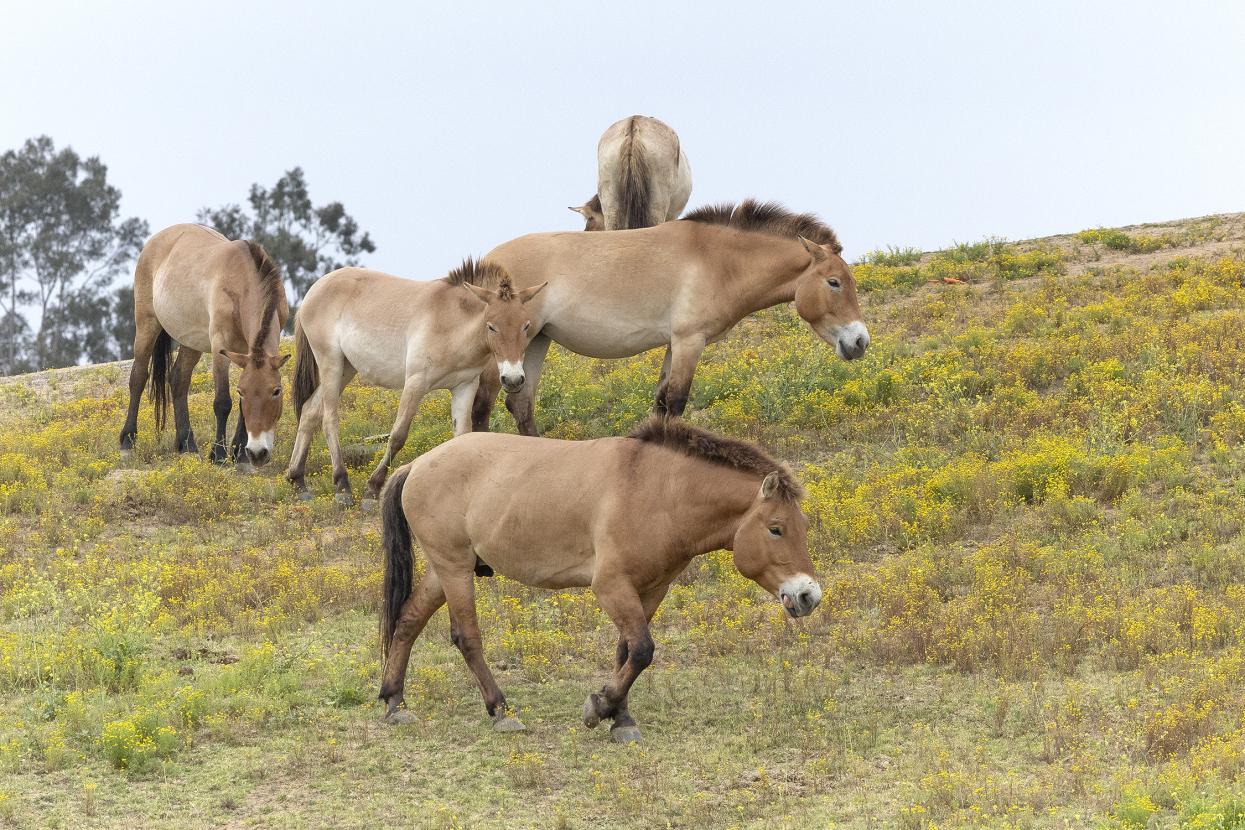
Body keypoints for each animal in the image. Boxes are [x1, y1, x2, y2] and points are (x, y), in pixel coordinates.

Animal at [118, 224, 289, 469]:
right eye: (242, 391)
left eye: (276, 391)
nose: (258, 453)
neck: (241, 283)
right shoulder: (220, 348)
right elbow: (223, 402)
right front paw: (219, 455)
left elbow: (239, 407)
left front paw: (240, 455)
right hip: (146, 324)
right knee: (138, 377)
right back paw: (128, 442)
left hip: (191, 342)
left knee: (178, 379)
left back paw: (187, 445)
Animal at [284, 259, 546, 507]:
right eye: (491, 326)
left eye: (526, 325)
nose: (513, 379)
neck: (451, 322)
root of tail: (315, 288)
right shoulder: (415, 383)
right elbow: (398, 436)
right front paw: (373, 489)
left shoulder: (464, 387)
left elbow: (461, 436)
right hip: (331, 364)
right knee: (329, 419)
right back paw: (342, 487)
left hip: (346, 369)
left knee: (309, 411)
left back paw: (298, 482)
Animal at [378, 415, 820, 742]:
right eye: (776, 528)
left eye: (803, 526)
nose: (808, 595)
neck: (658, 491)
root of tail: (417, 464)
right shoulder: (610, 587)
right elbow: (642, 649)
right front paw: (600, 707)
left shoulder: (651, 590)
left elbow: (627, 652)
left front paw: (620, 718)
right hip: (454, 569)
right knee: (466, 637)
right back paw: (501, 711)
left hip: (446, 570)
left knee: (409, 620)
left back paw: (395, 701)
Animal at [473, 200, 871, 436]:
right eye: (834, 282)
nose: (860, 341)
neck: (717, 261)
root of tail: (486, 262)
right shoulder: (689, 342)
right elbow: (677, 401)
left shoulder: (673, 345)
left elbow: (662, 403)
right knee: (481, 408)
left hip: (536, 340)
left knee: (521, 404)